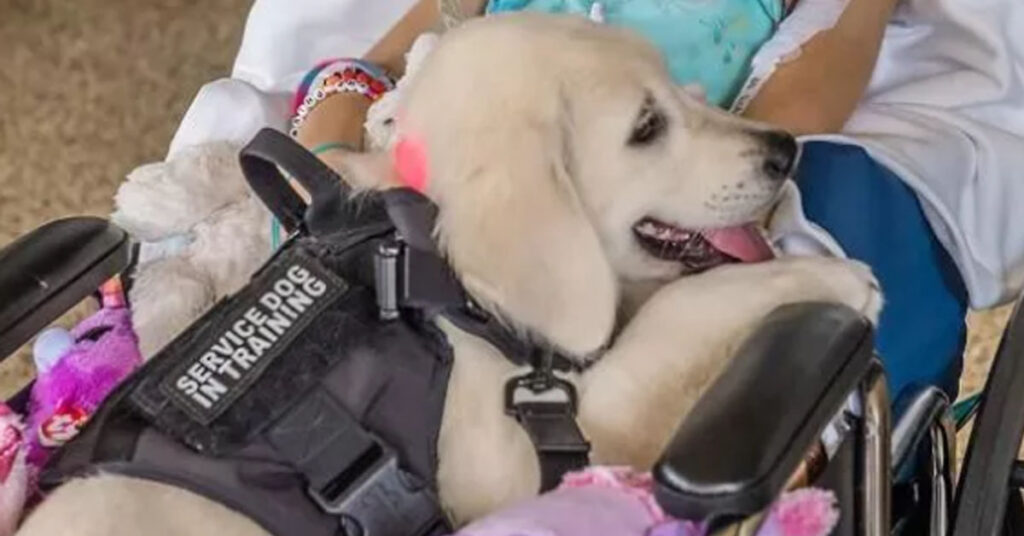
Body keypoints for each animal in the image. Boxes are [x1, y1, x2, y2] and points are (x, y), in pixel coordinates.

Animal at [16, 12, 880, 536]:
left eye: (680, 91)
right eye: (646, 127)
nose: (784, 150)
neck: (431, 276)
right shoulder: (545, 459)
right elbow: (679, 318)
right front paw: (833, 281)